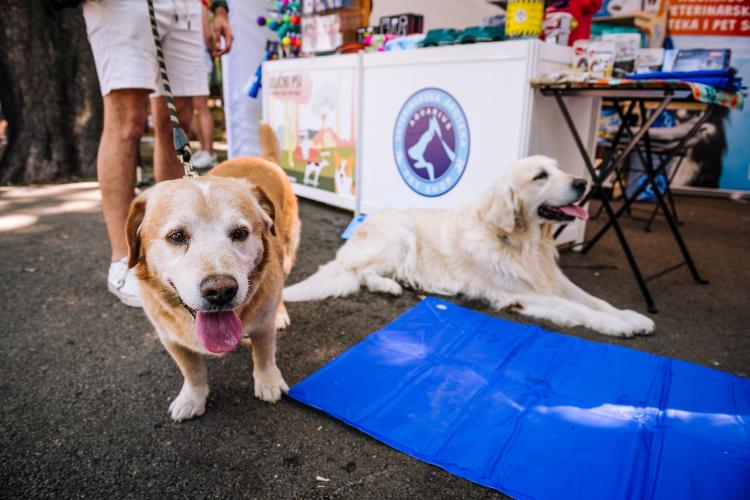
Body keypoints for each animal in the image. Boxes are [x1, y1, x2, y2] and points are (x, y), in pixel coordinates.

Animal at [126, 124, 300, 418]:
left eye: (240, 233)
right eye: (176, 236)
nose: (220, 291)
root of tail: (262, 159)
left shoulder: (262, 325)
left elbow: (264, 354)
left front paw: (268, 383)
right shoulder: (169, 338)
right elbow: (192, 370)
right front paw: (192, 398)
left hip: (287, 254)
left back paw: (280, 313)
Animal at [284, 154, 656, 338]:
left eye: (559, 168)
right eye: (540, 176)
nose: (583, 183)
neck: (522, 241)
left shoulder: (552, 279)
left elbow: (594, 300)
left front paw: (631, 317)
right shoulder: (523, 294)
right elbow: (579, 309)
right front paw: (620, 327)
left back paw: (396, 283)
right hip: (401, 233)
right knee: (360, 273)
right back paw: (390, 285)